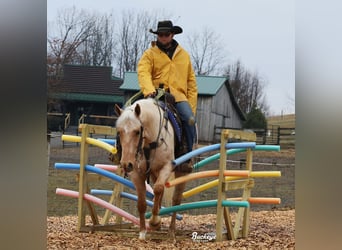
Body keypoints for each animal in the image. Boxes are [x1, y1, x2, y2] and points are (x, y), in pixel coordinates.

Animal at [114, 97, 190, 240]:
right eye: (119, 132)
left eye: (137, 131)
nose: (126, 164)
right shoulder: (136, 173)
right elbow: (142, 203)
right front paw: (143, 231)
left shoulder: (166, 166)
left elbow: (159, 189)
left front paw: (154, 221)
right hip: (154, 173)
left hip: (181, 172)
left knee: (175, 199)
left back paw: (171, 231)